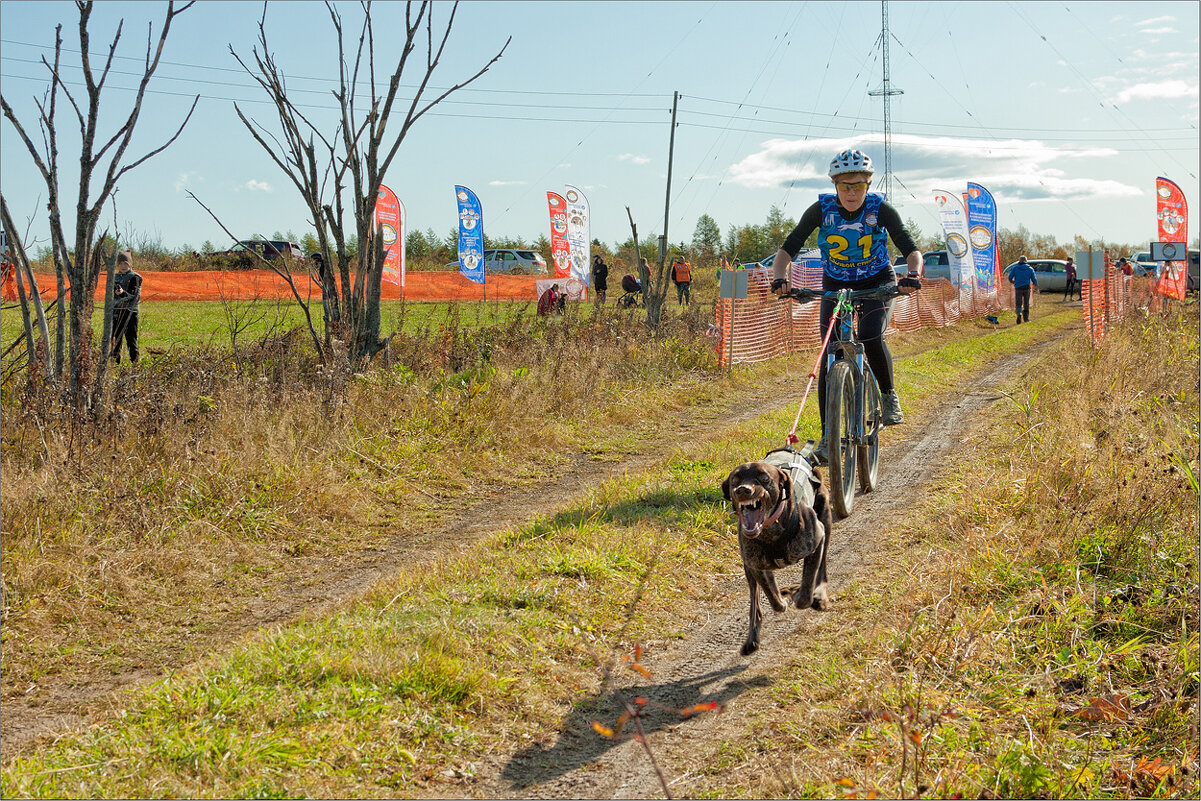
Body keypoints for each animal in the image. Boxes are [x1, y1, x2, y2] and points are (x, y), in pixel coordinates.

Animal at [720, 453, 835, 653]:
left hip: (825, 520)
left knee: (822, 571)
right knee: (755, 604)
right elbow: (773, 598)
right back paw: (752, 638)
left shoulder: (817, 539)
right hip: (748, 570)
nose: (743, 490)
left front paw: (800, 593)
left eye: (764, 477)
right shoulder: (757, 567)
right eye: (735, 480)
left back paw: (818, 596)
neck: (771, 533)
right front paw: (782, 599)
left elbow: (806, 592)